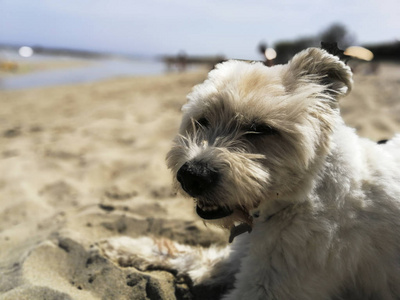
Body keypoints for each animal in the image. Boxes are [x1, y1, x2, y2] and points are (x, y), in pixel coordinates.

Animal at [104, 48, 400, 298]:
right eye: (202, 120)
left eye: (260, 129)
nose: (192, 176)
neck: (304, 194)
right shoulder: (238, 257)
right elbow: (186, 254)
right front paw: (125, 246)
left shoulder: (272, 284)